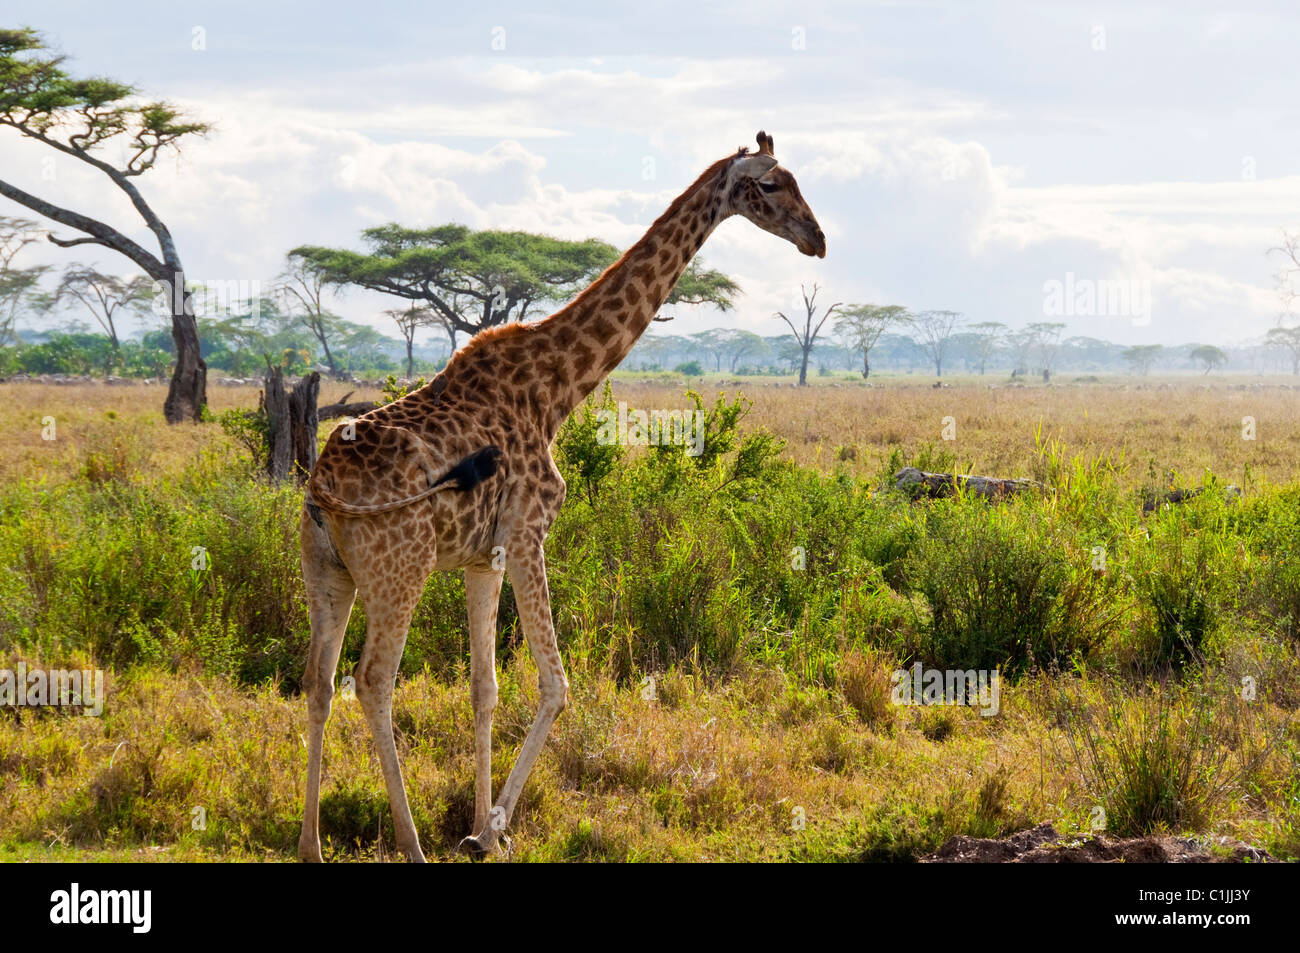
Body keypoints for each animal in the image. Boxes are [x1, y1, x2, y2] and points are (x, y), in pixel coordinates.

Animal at [297, 130, 826, 862]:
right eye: (772, 185)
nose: (817, 239)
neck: (556, 389)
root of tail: (322, 485)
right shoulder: (528, 533)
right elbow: (555, 684)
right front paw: (490, 828)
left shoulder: (481, 557)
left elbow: (485, 688)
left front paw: (481, 826)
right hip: (396, 572)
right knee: (373, 683)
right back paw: (411, 845)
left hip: (329, 573)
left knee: (318, 682)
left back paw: (312, 845)